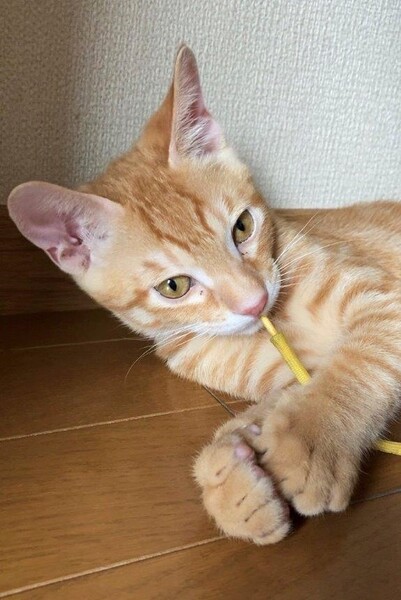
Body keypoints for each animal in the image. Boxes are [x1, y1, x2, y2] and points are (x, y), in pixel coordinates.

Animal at [8, 45, 401, 545]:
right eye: (174, 287)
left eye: (243, 227)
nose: (255, 303)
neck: (279, 322)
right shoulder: (278, 370)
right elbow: (277, 401)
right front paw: (229, 475)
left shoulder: (383, 296)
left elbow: (361, 362)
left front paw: (312, 437)